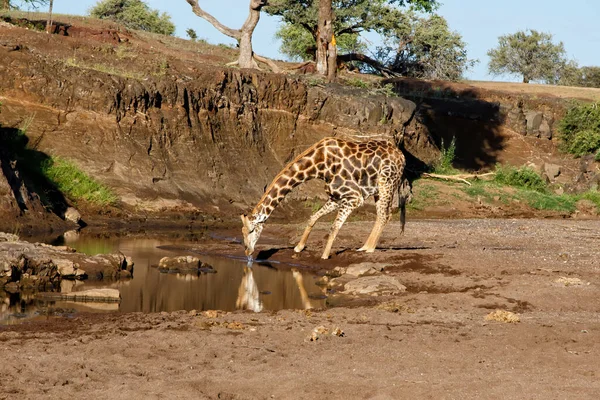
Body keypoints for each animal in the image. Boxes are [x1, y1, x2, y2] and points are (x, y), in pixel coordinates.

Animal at [241, 136, 410, 260]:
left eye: (251, 230)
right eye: (242, 232)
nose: (247, 252)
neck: (318, 165)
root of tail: (401, 156)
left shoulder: (353, 197)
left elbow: (334, 227)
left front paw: (324, 256)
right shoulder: (336, 197)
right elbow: (312, 218)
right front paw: (299, 247)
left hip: (386, 183)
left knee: (384, 215)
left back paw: (369, 249)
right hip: (379, 190)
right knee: (383, 215)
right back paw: (364, 247)